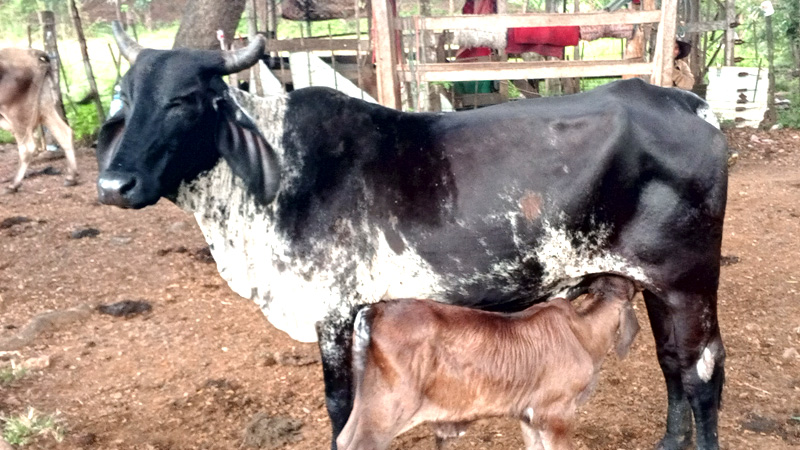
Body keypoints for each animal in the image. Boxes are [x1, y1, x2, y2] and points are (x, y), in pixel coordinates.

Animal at [0, 46, 77, 191]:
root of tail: (31, 53)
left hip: (17, 113)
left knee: (27, 147)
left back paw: (13, 185)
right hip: (45, 108)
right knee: (64, 132)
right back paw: (71, 177)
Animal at [338, 274, 636, 450]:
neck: (584, 334)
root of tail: (376, 309)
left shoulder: (528, 414)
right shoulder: (556, 413)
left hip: (367, 402)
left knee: (342, 439)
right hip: (388, 410)